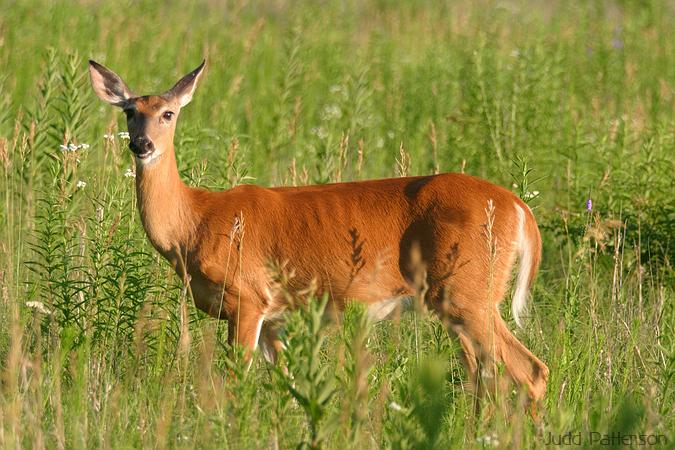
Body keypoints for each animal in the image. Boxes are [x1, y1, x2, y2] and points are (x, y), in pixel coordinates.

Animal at [90, 59, 548, 404]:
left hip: (470, 292)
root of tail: (519, 207)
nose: (142, 145)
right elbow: (289, 386)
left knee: (530, 370)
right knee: (484, 375)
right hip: (458, 302)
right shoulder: (275, 318)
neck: (194, 222)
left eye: (168, 113)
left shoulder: (248, 296)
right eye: (130, 112)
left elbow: (238, 382)